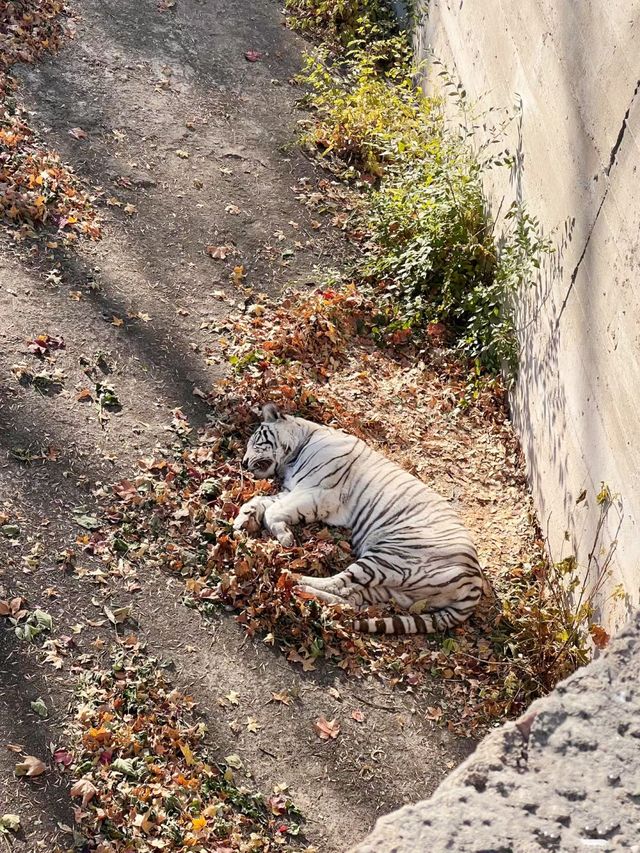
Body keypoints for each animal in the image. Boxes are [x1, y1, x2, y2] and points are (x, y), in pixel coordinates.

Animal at [235, 402, 484, 632]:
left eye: (256, 442)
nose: (244, 463)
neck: (297, 450)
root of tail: (475, 583)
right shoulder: (294, 490)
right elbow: (261, 501)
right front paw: (243, 519)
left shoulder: (319, 492)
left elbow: (272, 511)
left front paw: (284, 537)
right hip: (395, 587)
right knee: (349, 597)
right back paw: (304, 590)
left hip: (390, 557)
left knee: (339, 583)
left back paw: (295, 579)